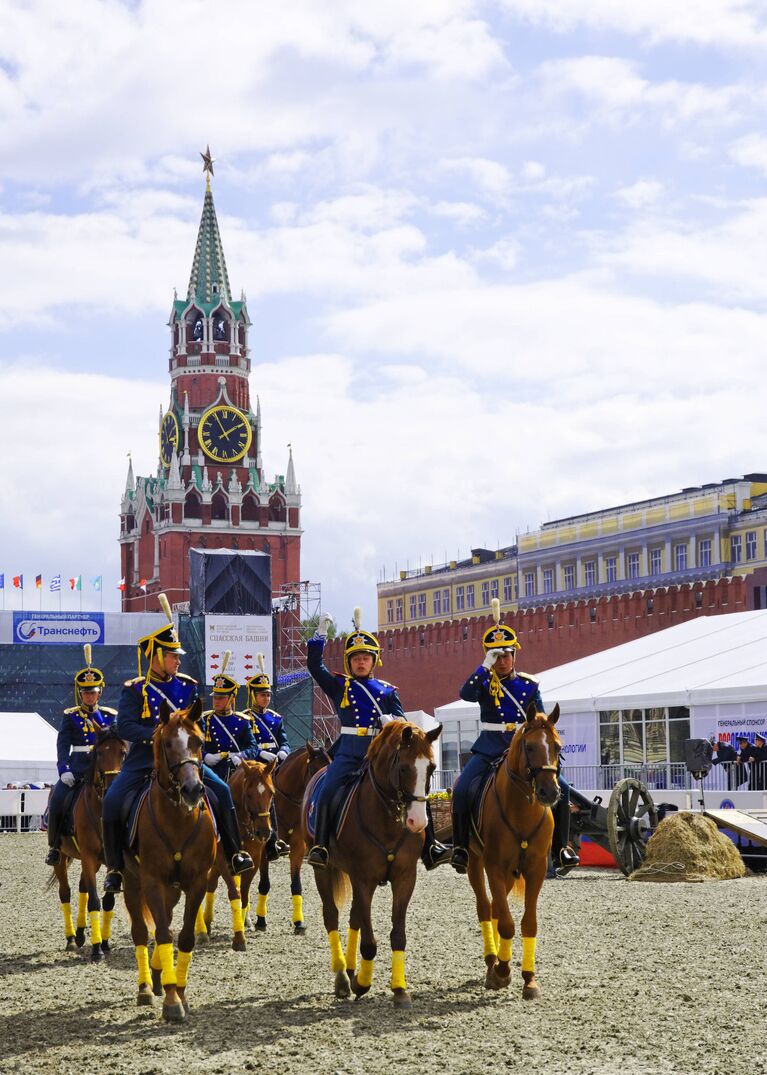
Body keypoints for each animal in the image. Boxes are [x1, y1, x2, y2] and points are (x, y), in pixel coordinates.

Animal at [48, 726, 126, 963]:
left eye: (123, 752)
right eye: (99, 753)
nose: (111, 787)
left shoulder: (112, 861)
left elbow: (107, 901)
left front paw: (105, 943)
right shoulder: (89, 858)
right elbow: (94, 901)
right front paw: (97, 948)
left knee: (82, 887)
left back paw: (82, 933)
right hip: (62, 858)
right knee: (66, 892)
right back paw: (72, 938)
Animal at [120, 696, 215, 1023]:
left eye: (199, 741)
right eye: (168, 743)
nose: (193, 790)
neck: (177, 819)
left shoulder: (197, 882)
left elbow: (184, 936)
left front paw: (180, 993)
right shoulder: (151, 882)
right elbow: (162, 934)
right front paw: (172, 1001)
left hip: (173, 889)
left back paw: (160, 974)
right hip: (131, 882)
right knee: (141, 931)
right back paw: (146, 987)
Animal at [199, 756, 277, 950]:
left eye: (271, 793)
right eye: (249, 794)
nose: (264, 832)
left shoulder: (253, 860)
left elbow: (244, 894)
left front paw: (242, 926)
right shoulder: (222, 860)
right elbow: (234, 892)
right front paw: (239, 938)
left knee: (211, 883)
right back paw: (202, 929)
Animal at [301, 722, 438, 1006]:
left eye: (431, 768)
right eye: (403, 767)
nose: (418, 822)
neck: (388, 818)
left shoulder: (405, 877)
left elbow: (397, 934)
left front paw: (399, 989)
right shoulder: (363, 879)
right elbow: (369, 942)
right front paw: (363, 983)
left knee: (354, 917)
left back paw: (352, 968)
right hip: (323, 869)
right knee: (332, 916)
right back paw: (343, 977)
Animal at [464, 705, 559, 997]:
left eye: (558, 747)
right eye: (529, 746)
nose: (550, 792)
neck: (522, 807)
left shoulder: (536, 869)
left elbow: (529, 923)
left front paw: (529, 979)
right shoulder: (494, 866)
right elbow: (506, 924)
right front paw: (503, 972)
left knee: (496, 907)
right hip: (475, 863)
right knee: (485, 908)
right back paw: (491, 962)